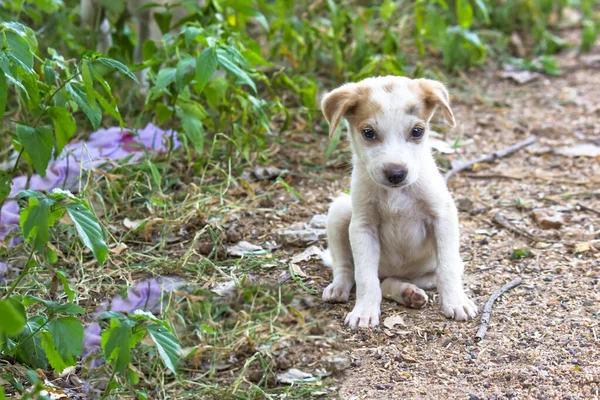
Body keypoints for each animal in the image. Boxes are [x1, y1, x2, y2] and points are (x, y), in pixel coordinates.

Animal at [322, 75, 480, 328]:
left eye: (417, 131)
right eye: (368, 133)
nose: (396, 174)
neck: (396, 194)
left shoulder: (442, 216)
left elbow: (447, 268)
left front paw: (456, 302)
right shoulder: (363, 226)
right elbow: (364, 276)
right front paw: (364, 311)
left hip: (436, 269)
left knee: (398, 280)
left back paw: (409, 293)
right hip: (339, 211)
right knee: (348, 268)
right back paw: (339, 288)